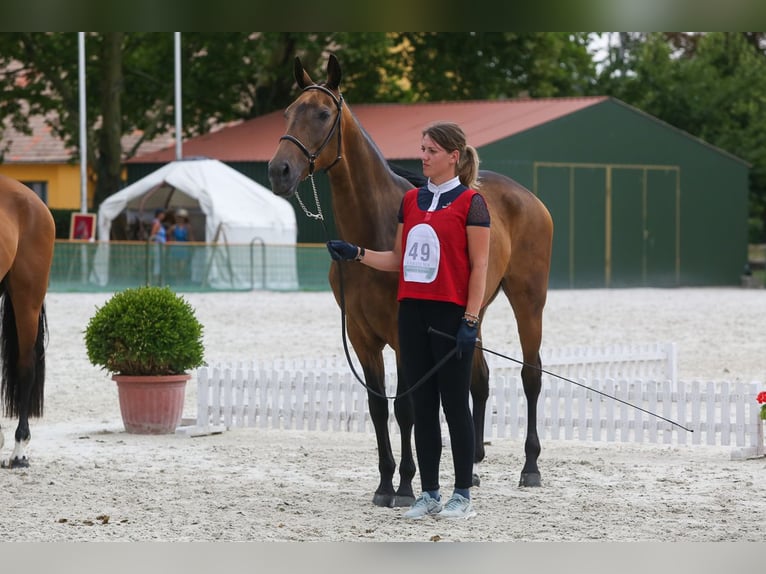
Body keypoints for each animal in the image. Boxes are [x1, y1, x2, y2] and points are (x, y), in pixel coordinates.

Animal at [268, 55, 552, 508]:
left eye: (323, 114)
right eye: (288, 112)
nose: (279, 171)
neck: (377, 227)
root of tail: (529, 198)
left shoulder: (403, 336)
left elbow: (407, 408)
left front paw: (403, 487)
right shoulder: (362, 336)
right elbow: (377, 407)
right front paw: (384, 484)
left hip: (529, 301)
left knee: (531, 375)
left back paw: (530, 467)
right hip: (473, 313)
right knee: (478, 379)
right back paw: (471, 468)